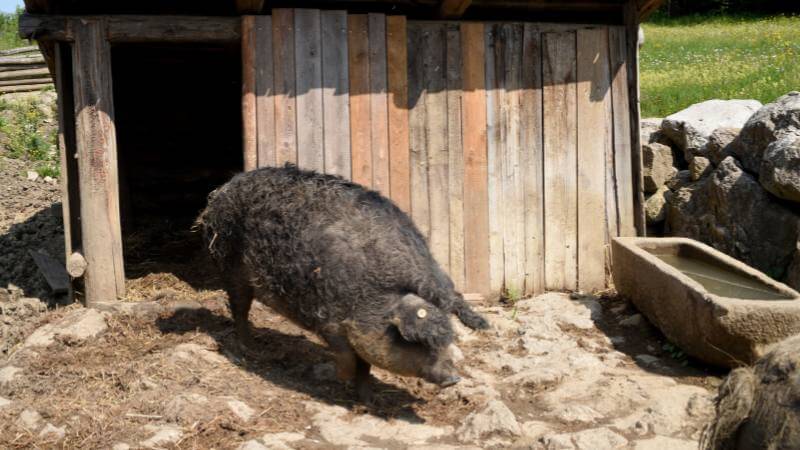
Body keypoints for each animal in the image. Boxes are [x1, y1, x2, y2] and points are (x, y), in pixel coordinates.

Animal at [197, 163, 490, 400]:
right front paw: (339, 380)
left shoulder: (362, 334)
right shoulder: (329, 321)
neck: (378, 295)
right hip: (230, 267)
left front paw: (368, 400)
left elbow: (365, 366)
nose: (453, 379)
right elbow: (347, 360)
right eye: (418, 342)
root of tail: (224, 189)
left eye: (446, 339)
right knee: (239, 308)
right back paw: (250, 348)